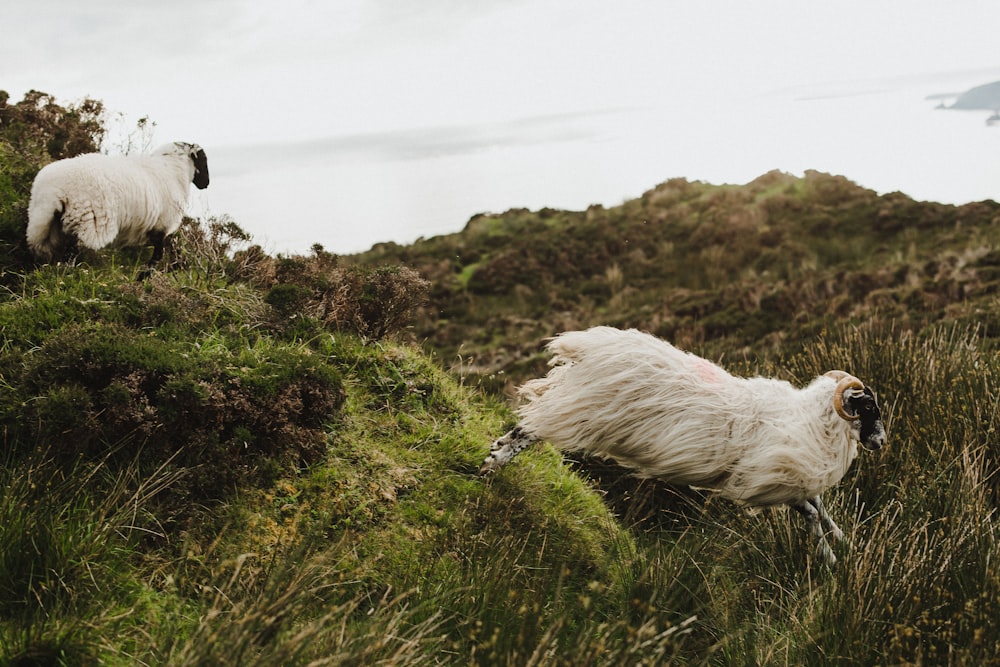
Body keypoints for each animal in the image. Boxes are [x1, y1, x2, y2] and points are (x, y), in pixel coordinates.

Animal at [25, 142, 209, 270]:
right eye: (204, 159)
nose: (206, 184)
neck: (173, 171)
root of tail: (59, 190)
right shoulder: (160, 227)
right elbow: (158, 256)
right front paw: (143, 278)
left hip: (41, 221)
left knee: (42, 249)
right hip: (88, 223)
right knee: (72, 252)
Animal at [480, 326, 888, 568]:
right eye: (868, 406)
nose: (882, 442)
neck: (814, 419)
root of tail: (588, 346)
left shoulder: (794, 479)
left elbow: (821, 508)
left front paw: (844, 542)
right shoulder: (771, 480)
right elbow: (812, 515)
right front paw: (830, 558)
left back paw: (491, 458)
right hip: (580, 408)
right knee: (530, 429)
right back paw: (493, 462)